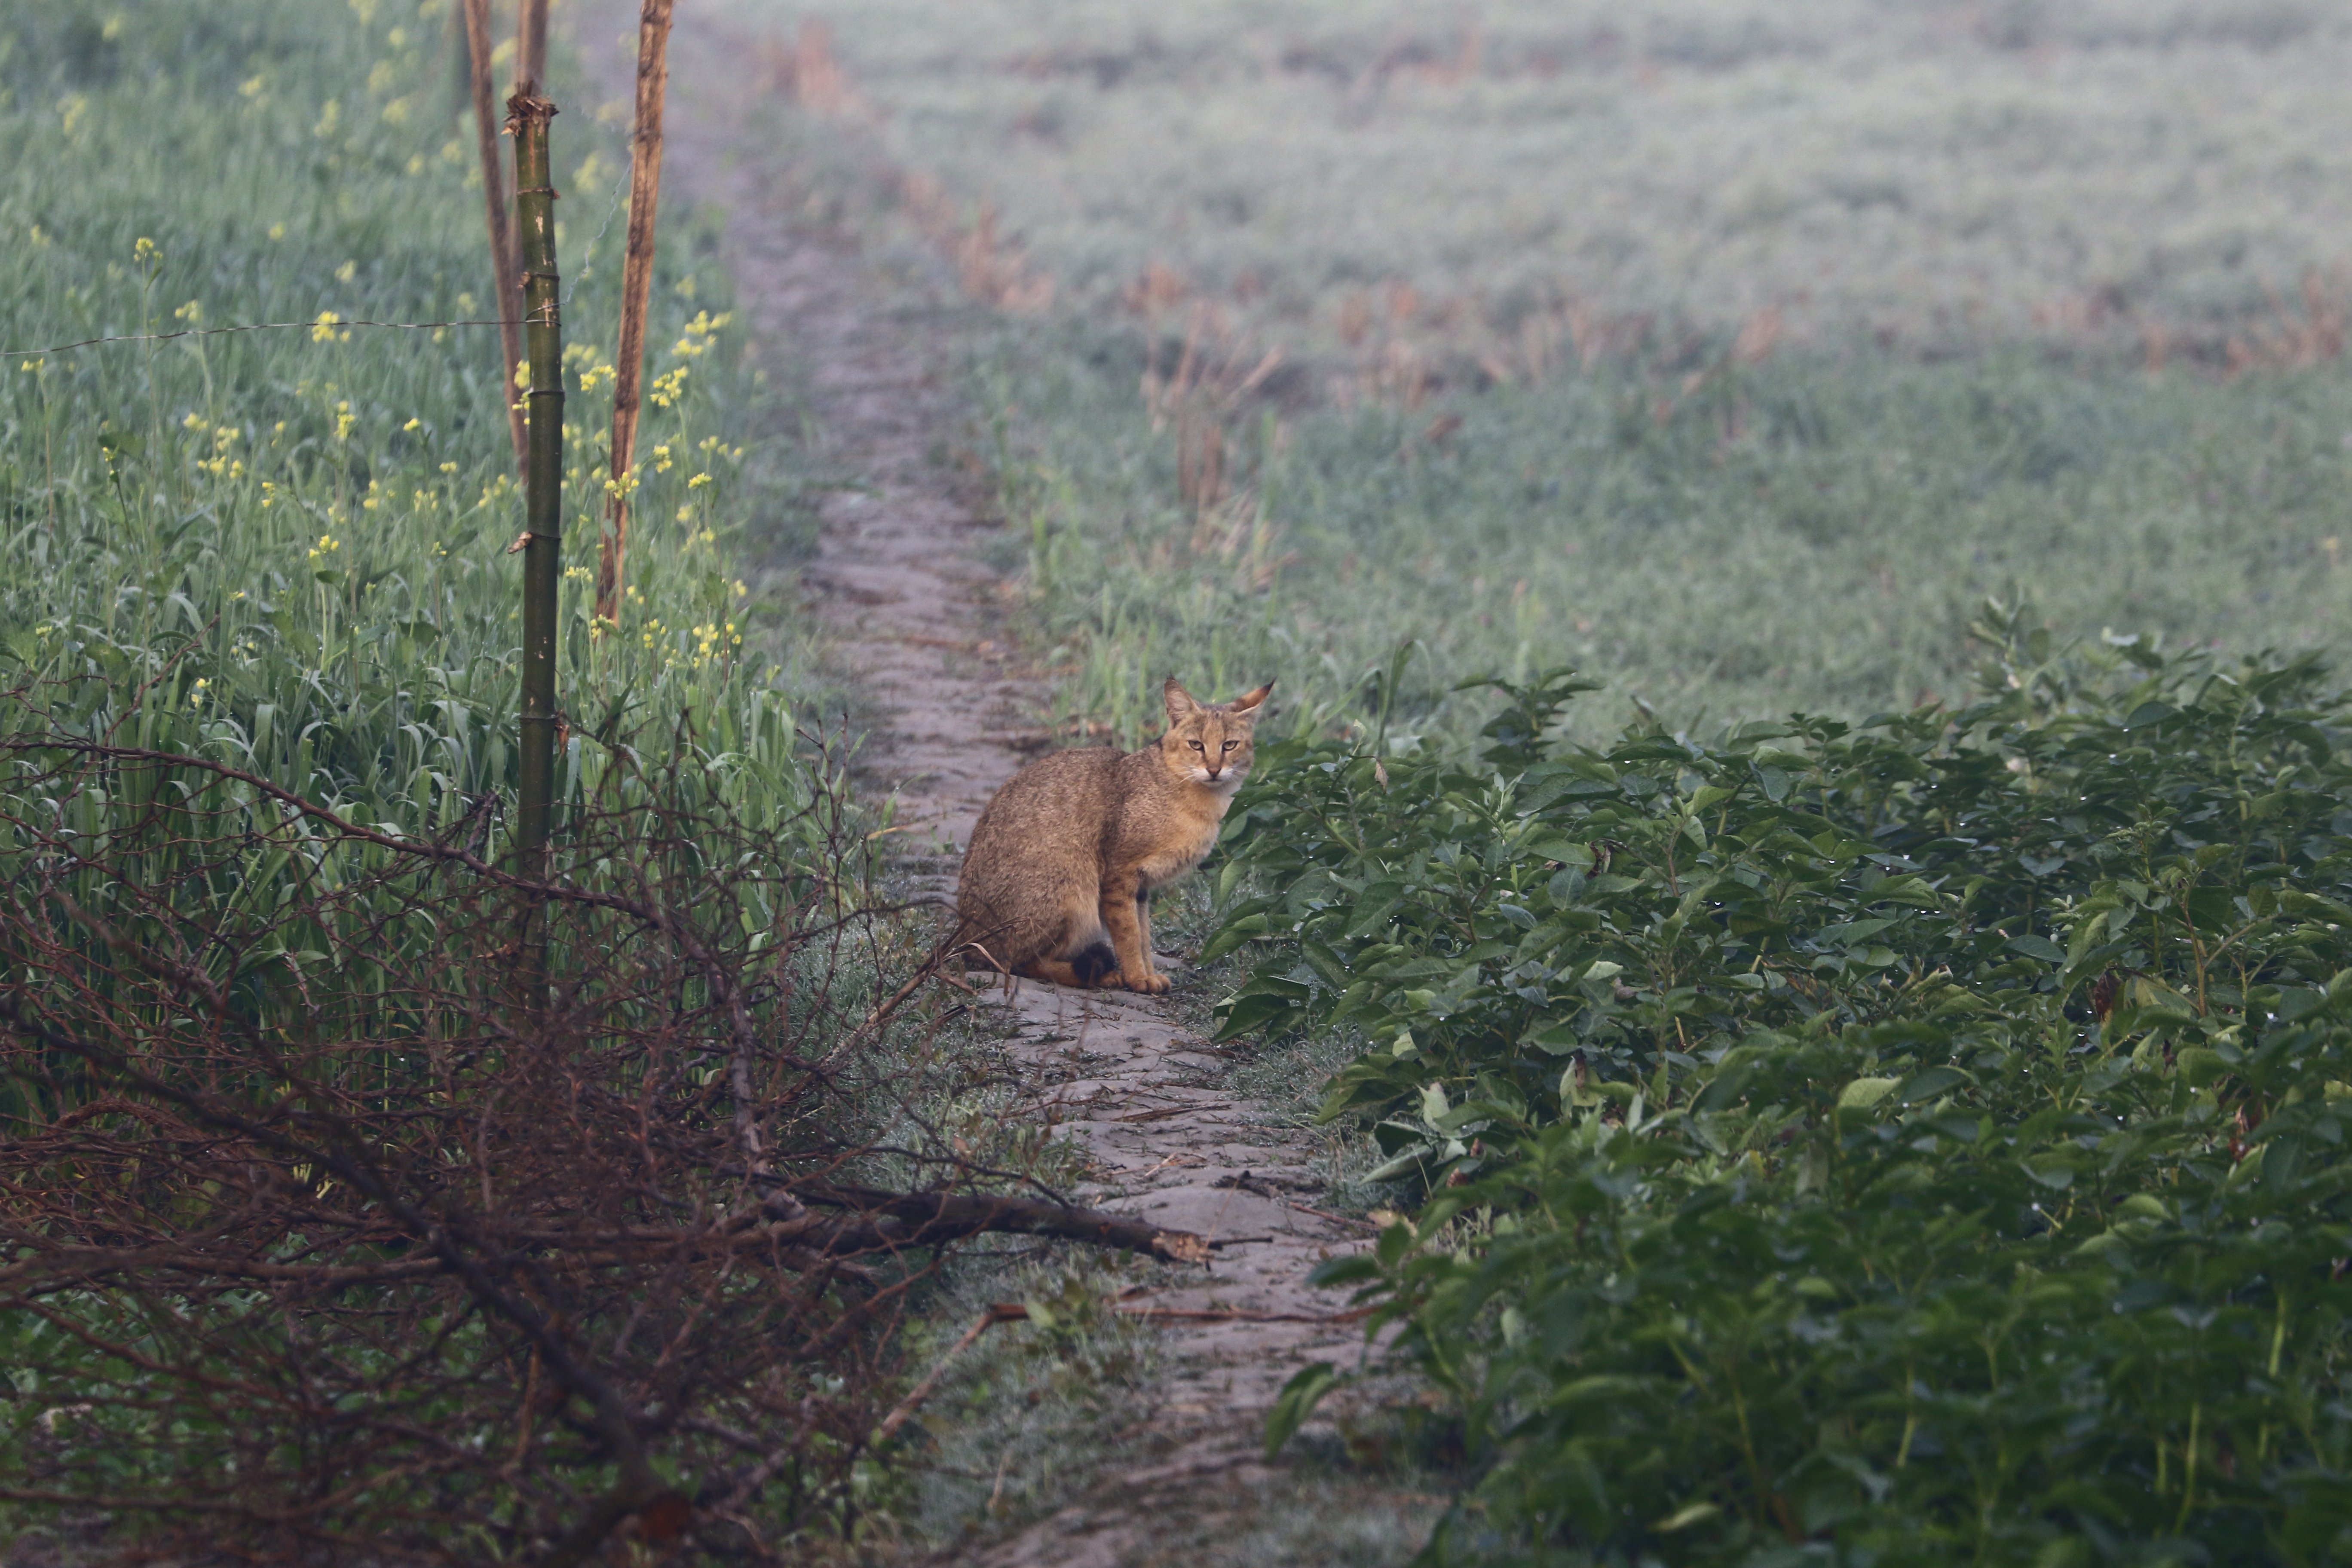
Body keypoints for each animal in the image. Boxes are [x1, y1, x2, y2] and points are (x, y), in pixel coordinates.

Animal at [955, 677, 1279, 992]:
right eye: (1196, 745)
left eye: (1230, 745)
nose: (1214, 770)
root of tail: (964, 940)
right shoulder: (1119, 875)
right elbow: (1129, 935)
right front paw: (1138, 979)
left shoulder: (1142, 886)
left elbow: (1145, 936)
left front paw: (1149, 975)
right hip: (1074, 894)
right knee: (1021, 962)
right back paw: (1098, 976)